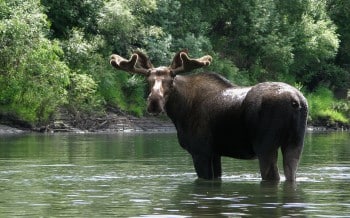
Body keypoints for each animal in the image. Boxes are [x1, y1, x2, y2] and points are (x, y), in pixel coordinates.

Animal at [110, 50, 308, 181]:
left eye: (171, 81)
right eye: (149, 81)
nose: (154, 102)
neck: (179, 113)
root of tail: (296, 101)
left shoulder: (200, 151)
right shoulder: (215, 153)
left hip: (265, 146)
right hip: (295, 144)